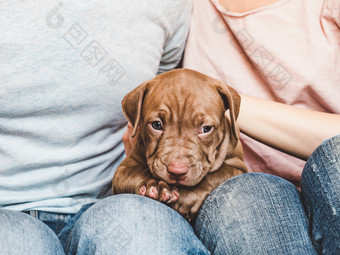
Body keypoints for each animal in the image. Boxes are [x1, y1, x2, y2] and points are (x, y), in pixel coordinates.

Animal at [111, 68, 247, 222]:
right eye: (156, 125)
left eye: (206, 129)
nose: (177, 171)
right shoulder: (122, 170)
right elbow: (134, 172)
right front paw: (156, 185)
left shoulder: (238, 167)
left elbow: (218, 173)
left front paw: (187, 197)